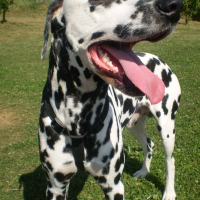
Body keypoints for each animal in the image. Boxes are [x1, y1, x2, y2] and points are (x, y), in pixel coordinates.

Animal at [38, 0, 183, 199]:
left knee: (170, 160)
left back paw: (169, 192)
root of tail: (159, 60)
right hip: (135, 125)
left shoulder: (113, 185)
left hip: (167, 128)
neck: (78, 121)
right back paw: (144, 171)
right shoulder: (55, 186)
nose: (174, 5)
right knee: (149, 144)